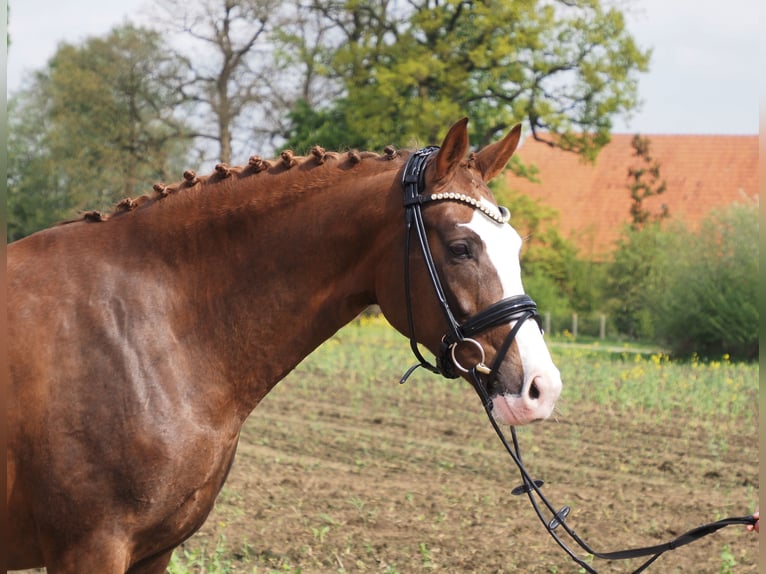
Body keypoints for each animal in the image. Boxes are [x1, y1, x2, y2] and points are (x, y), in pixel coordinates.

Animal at [6, 117, 564, 572]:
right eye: (461, 247)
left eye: (516, 246)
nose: (542, 388)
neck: (146, 329)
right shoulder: (90, 549)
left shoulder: (153, 552)